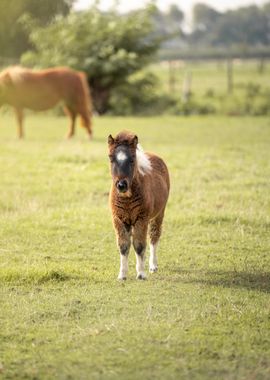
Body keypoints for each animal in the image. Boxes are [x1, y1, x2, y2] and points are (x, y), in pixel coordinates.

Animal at [107, 131, 169, 280]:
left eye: (132, 159)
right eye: (111, 158)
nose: (121, 185)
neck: (127, 198)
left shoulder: (141, 218)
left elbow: (139, 245)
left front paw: (141, 273)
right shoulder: (119, 219)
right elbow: (124, 245)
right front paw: (122, 275)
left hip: (159, 214)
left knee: (154, 236)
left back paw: (153, 266)